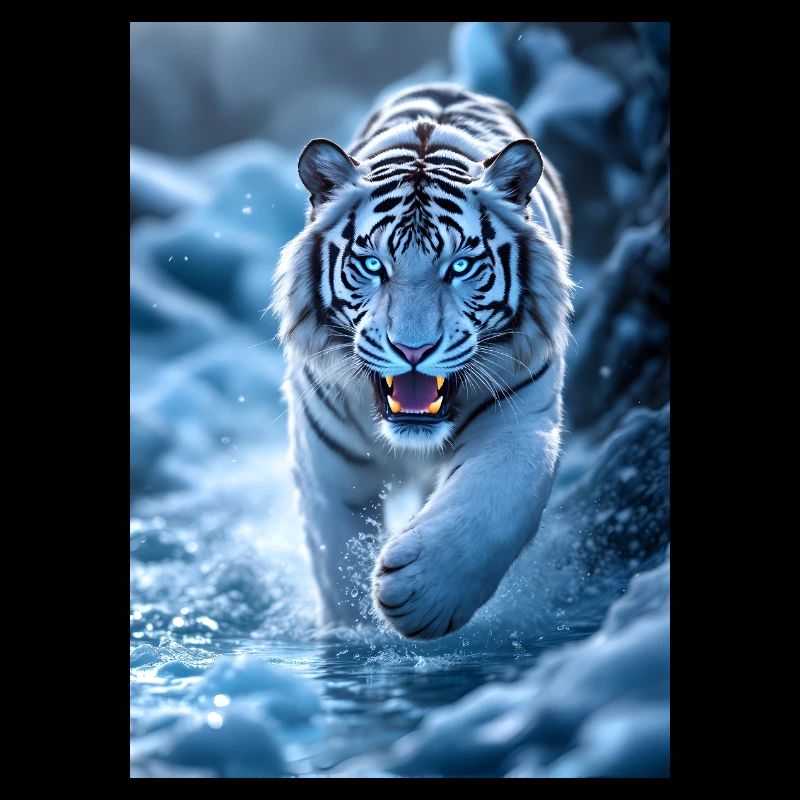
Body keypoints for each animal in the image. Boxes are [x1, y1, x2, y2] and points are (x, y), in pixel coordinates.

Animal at [271, 83, 573, 640]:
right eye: (373, 265)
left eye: (461, 266)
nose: (413, 350)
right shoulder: (327, 464)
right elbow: (336, 562)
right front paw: (353, 635)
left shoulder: (521, 420)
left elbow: (495, 500)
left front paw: (422, 594)